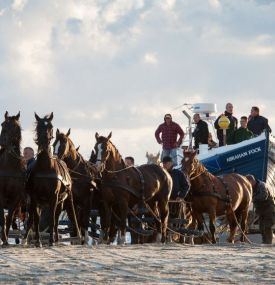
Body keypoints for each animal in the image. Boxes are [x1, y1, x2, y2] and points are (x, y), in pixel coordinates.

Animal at [22, 112, 80, 245]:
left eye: (50, 126)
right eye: (38, 126)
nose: (44, 141)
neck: (45, 167)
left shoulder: (54, 197)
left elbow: (53, 219)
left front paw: (51, 240)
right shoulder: (34, 197)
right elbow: (37, 220)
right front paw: (38, 241)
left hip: (62, 200)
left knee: (57, 217)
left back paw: (57, 238)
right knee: (34, 217)